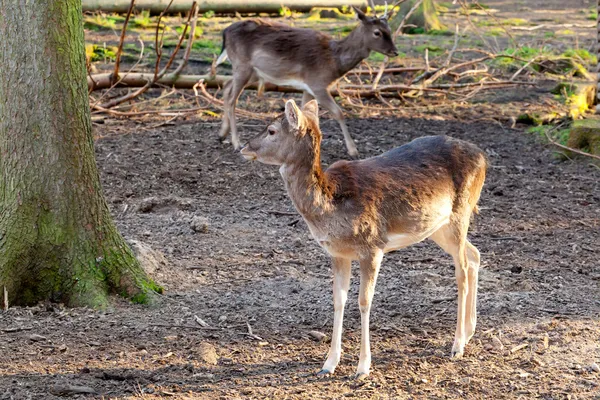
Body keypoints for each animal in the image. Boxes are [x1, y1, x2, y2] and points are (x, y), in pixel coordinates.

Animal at [214, 5, 398, 158]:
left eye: (389, 29)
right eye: (377, 32)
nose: (395, 51)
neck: (334, 62)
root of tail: (224, 32)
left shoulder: (307, 88)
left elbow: (305, 115)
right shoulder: (318, 84)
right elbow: (338, 112)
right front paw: (353, 151)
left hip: (250, 71)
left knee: (226, 87)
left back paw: (221, 134)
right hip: (243, 65)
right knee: (232, 98)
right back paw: (236, 142)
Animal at [239, 99, 488, 378]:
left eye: (271, 130)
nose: (243, 148)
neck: (330, 209)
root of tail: (483, 157)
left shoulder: (372, 246)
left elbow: (364, 301)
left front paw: (362, 367)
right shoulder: (337, 252)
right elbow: (338, 300)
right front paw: (328, 364)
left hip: (460, 214)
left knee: (462, 269)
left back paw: (457, 345)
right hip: (437, 227)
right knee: (474, 254)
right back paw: (469, 331)